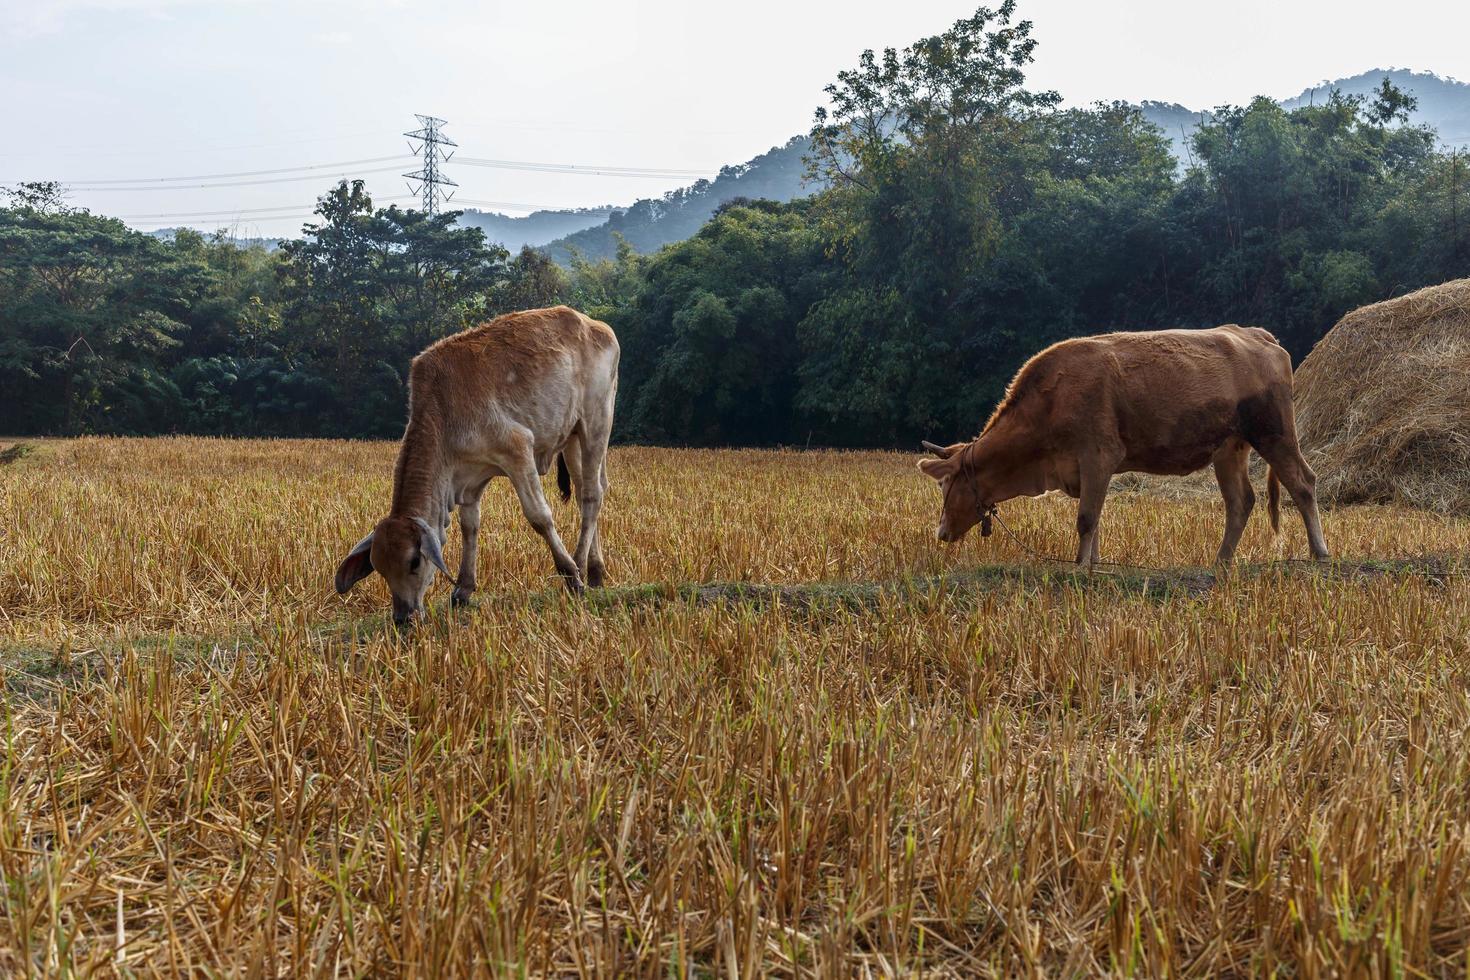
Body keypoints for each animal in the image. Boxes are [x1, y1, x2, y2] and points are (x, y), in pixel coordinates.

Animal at [336, 307, 617, 625]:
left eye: (414, 561)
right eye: (380, 567)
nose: (404, 616)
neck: (443, 411)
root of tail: (596, 325)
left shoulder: (518, 449)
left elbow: (540, 517)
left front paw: (570, 574)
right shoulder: (468, 482)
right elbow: (469, 527)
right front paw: (463, 590)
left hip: (596, 422)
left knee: (592, 495)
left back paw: (580, 564)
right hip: (572, 438)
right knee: (586, 492)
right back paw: (596, 570)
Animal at [911, 326, 1328, 567]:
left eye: (946, 485)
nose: (941, 533)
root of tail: (1258, 334)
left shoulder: (1099, 454)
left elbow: (1086, 518)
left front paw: (1081, 567)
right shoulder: (1084, 469)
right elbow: (1094, 518)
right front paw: (1092, 563)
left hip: (1274, 432)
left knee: (1303, 483)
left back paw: (1319, 552)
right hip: (1230, 447)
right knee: (1240, 501)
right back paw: (1221, 560)